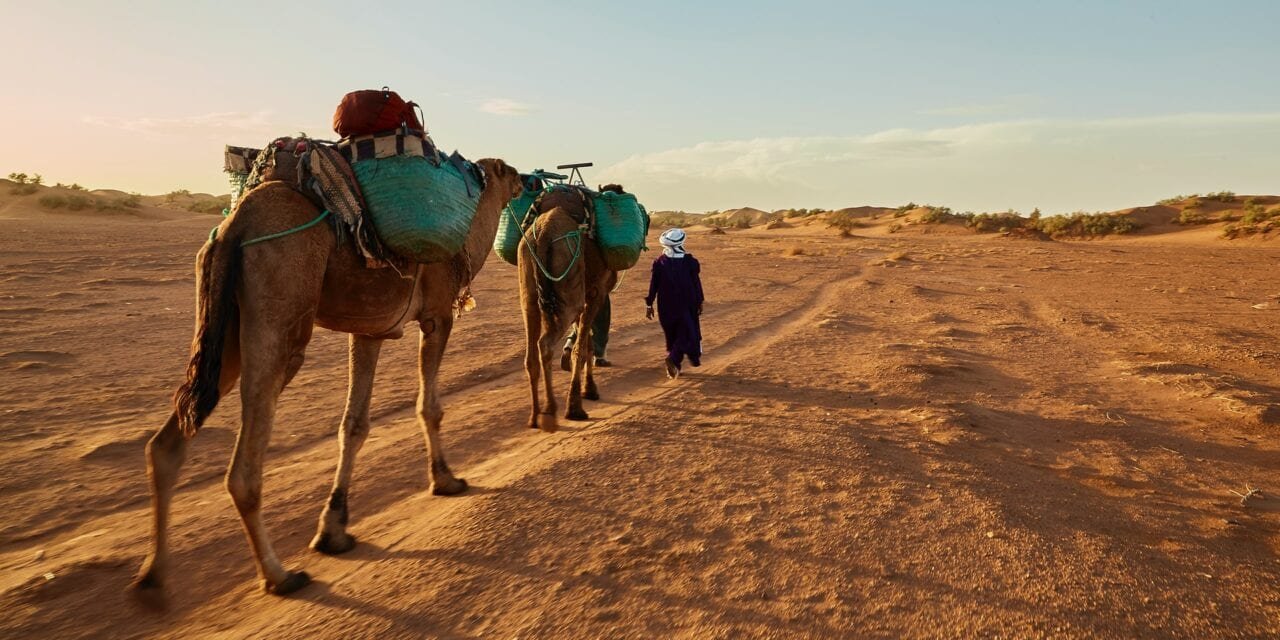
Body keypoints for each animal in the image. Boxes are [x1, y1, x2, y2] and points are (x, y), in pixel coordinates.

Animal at [131, 156, 524, 604]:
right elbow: (429, 406)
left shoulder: (371, 329)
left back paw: (153, 577)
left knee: (167, 442)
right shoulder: (438, 316)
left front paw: (333, 528)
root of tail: (235, 225)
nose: (526, 182)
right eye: (511, 173)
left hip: (223, 329)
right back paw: (279, 576)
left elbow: (354, 425)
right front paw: (445, 479)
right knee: (244, 470)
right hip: (280, 306)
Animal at [519, 186, 619, 432]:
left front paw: (589, 389)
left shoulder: (587, 296)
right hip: (568, 285)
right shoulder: (595, 293)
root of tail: (544, 231)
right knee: (545, 343)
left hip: (529, 288)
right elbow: (581, 349)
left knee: (531, 354)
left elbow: (586, 343)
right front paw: (576, 406)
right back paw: (550, 412)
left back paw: (534, 416)